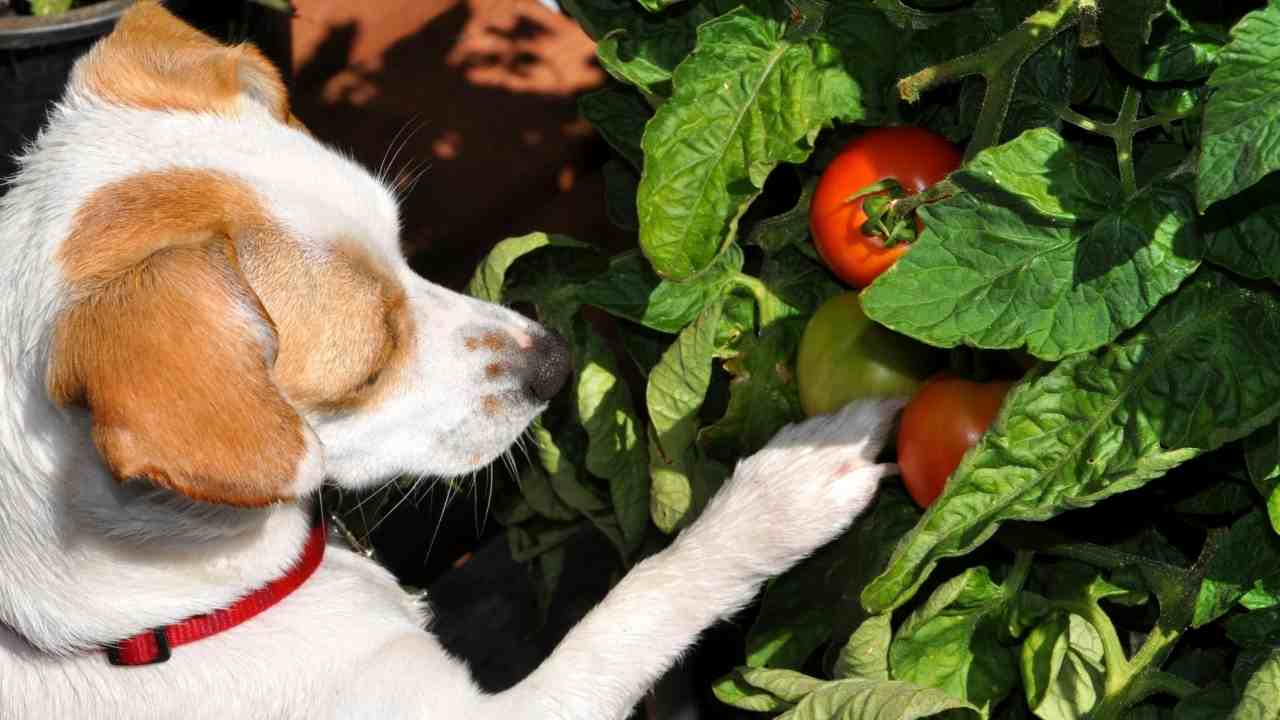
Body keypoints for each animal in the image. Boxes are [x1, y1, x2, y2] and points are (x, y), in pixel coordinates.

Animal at [0, 2, 901, 712]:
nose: (554, 362)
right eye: (368, 370)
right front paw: (783, 495)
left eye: (406, 247)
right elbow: (641, 600)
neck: (148, 622)